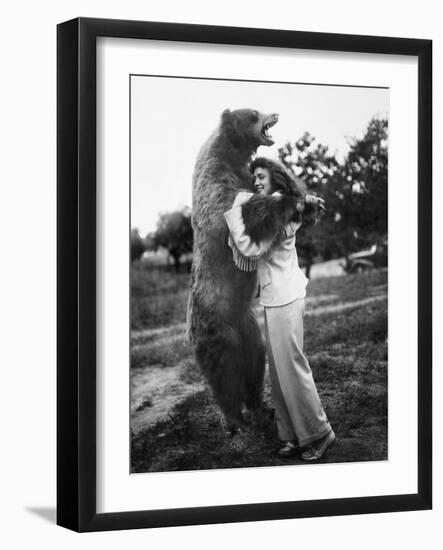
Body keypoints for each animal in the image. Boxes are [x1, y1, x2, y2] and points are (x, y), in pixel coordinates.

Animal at [189, 109, 310, 436]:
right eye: (253, 114)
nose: (275, 113)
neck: (229, 153)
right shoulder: (216, 189)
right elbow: (241, 212)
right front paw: (291, 199)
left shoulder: (240, 174)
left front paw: (305, 196)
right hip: (218, 328)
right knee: (225, 374)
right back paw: (235, 420)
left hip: (248, 324)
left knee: (255, 360)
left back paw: (261, 407)